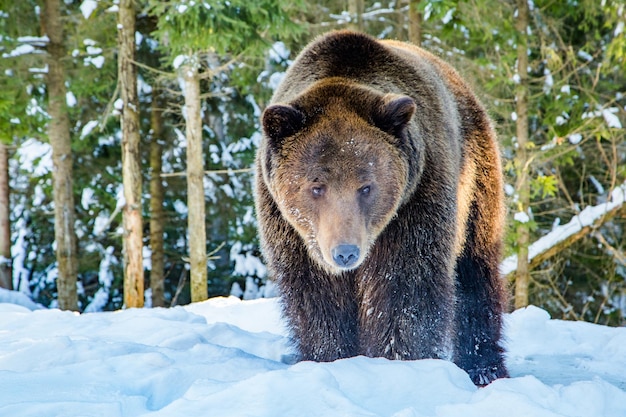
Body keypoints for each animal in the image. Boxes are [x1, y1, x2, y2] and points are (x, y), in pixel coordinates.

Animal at [254, 30, 508, 386]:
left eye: (366, 186)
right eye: (316, 186)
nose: (345, 252)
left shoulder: (415, 203)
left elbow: (404, 290)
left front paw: (398, 363)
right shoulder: (291, 231)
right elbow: (317, 301)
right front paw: (329, 358)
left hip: (474, 180)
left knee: (476, 272)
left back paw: (484, 367)